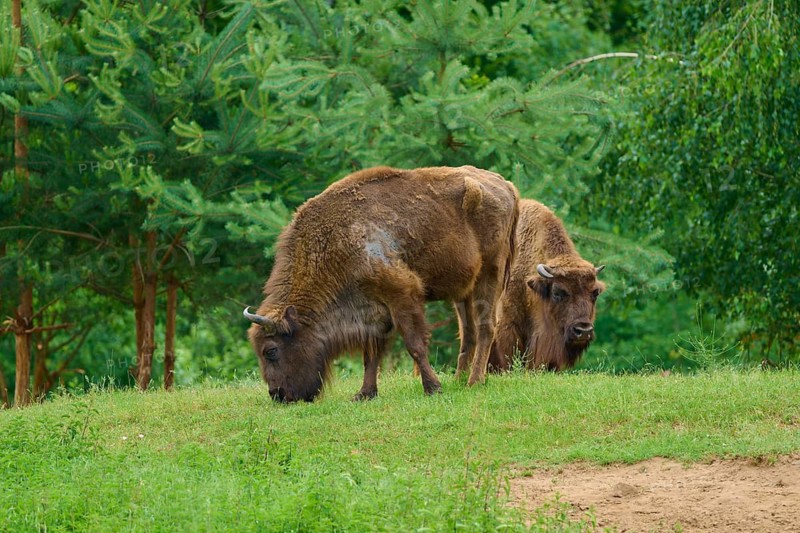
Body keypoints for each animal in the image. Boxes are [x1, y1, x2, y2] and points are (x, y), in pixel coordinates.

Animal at [245, 166, 519, 402]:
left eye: (271, 351)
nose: (277, 395)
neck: (333, 242)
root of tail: (505, 185)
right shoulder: (373, 310)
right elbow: (371, 354)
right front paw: (364, 394)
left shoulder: (402, 294)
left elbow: (414, 344)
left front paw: (433, 388)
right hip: (463, 288)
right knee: (468, 333)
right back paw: (460, 379)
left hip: (491, 273)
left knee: (486, 327)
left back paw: (474, 381)